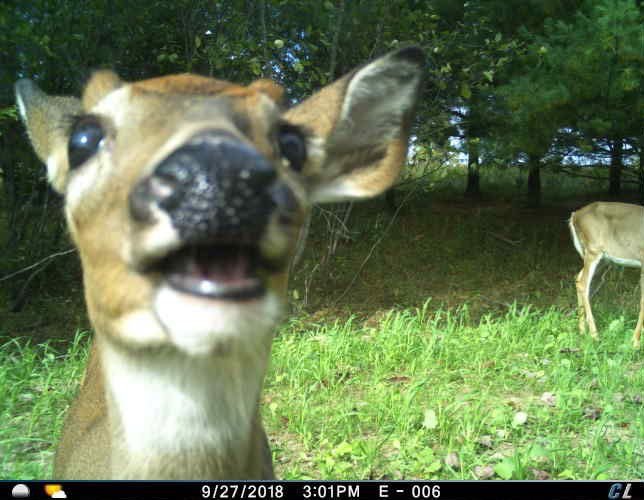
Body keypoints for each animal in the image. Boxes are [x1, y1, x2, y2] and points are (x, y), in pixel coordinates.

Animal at [569, 201, 644, 349]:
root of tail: (575, 215)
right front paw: (635, 342)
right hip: (593, 249)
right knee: (583, 283)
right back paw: (595, 335)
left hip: (600, 257)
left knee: (578, 277)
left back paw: (582, 330)